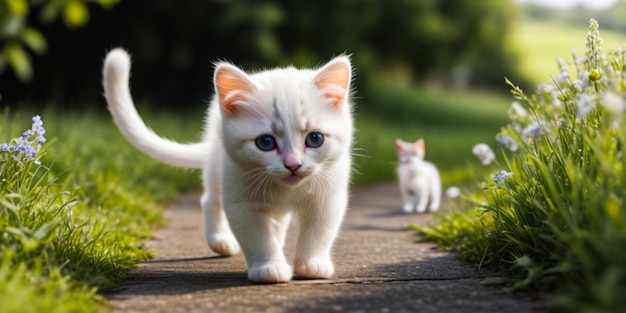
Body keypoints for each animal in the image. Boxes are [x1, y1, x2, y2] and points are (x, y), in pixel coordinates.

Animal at [105, 48, 354, 282]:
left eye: (315, 139)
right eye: (265, 142)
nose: (293, 164)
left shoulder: (328, 196)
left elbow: (319, 232)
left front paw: (311, 264)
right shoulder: (241, 200)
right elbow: (257, 236)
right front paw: (268, 266)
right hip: (219, 165)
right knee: (210, 200)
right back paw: (221, 240)